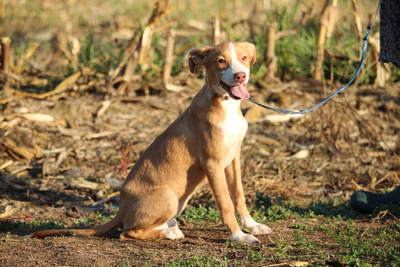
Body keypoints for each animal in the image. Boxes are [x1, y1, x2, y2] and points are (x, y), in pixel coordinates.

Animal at [27, 41, 272, 245]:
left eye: (244, 58)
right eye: (221, 61)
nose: (240, 76)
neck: (225, 105)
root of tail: (121, 211)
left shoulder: (234, 158)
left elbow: (239, 196)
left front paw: (252, 226)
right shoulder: (212, 163)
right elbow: (226, 204)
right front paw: (239, 236)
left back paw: (168, 227)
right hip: (168, 196)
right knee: (127, 232)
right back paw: (168, 233)